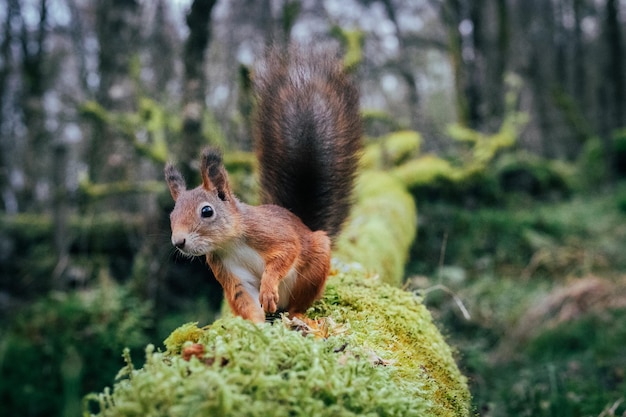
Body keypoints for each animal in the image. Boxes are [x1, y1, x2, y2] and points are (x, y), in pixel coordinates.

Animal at [165, 47, 360, 324]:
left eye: (207, 211)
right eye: (171, 216)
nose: (178, 242)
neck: (231, 242)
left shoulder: (271, 232)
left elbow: (284, 254)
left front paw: (267, 290)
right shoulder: (229, 271)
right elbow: (244, 298)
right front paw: (256, 325)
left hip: (314, 266)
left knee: (298, 303)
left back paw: (299, 317)